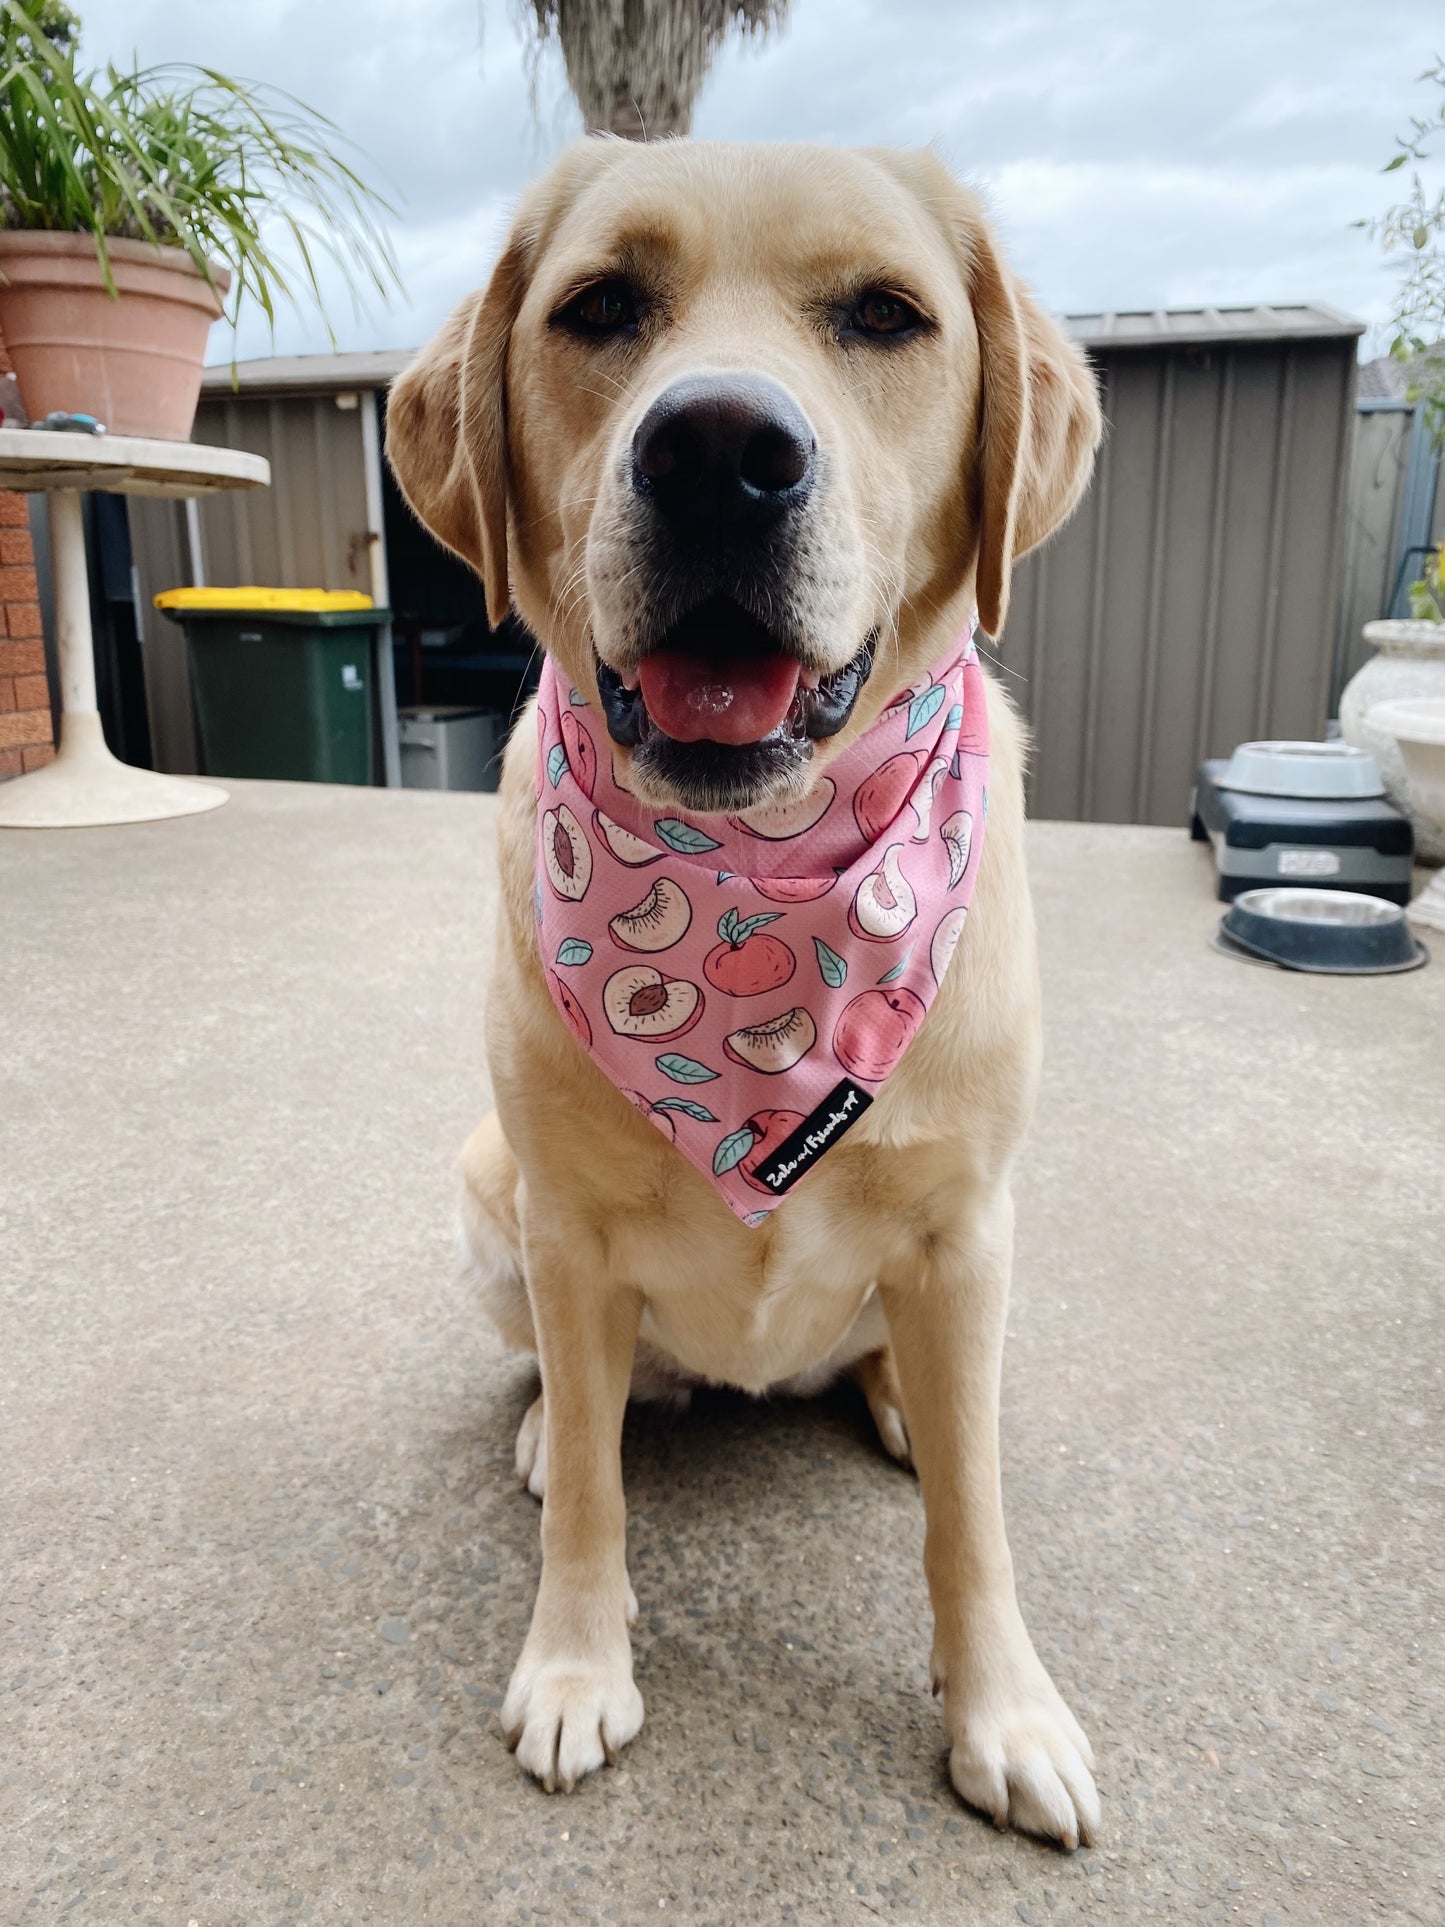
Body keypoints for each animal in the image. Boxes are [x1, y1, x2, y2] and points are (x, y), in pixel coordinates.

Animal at [391, 139, 1102, 1849]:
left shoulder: (965, 1222)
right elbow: (593, 1485)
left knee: (929, 1389)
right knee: (585, 1393)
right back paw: (551, 1419)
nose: (720, 452)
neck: (759, 870)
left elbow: (974, 1522)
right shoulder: (565, 1232)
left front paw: (1004, 1708)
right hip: (486, 1197)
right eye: (598, 307)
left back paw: (903, 1398)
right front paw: (574, 1662)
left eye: (886, 314)